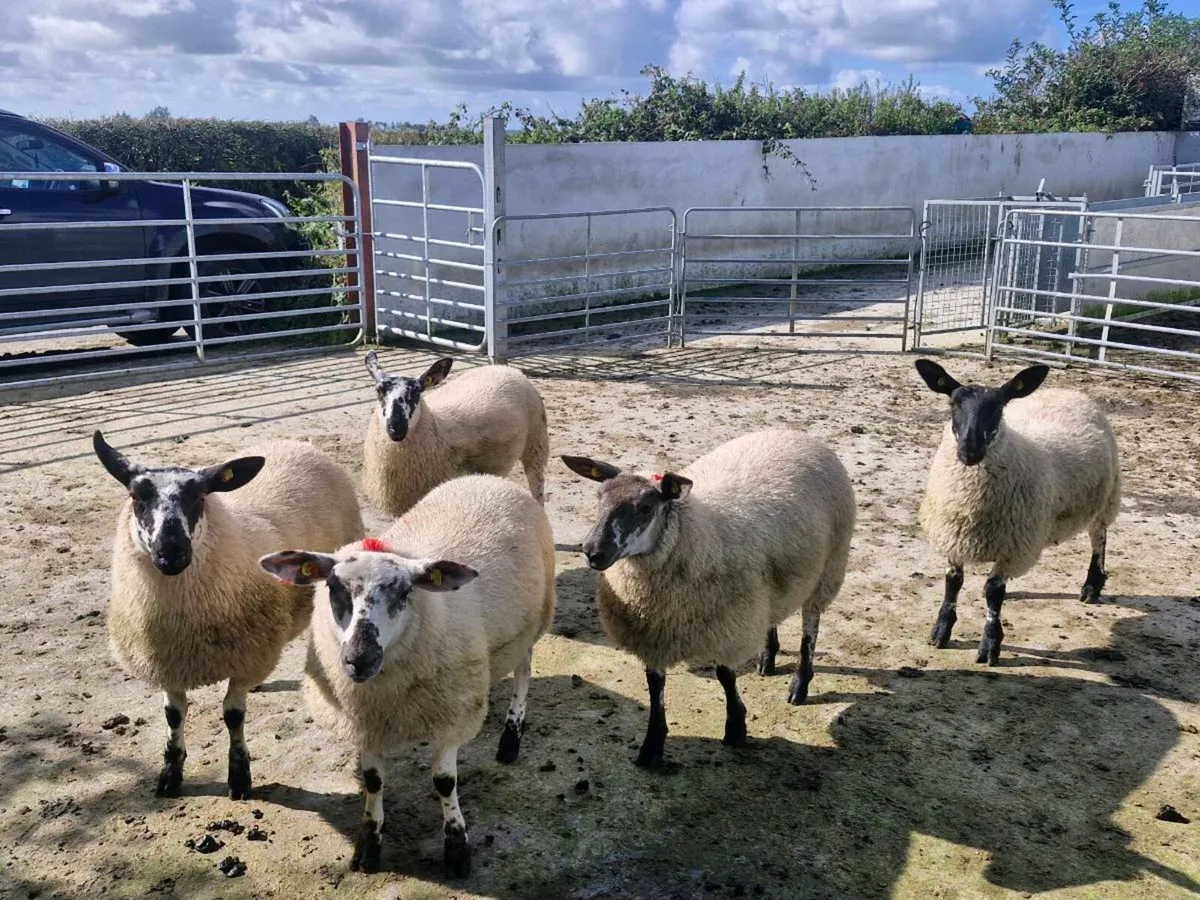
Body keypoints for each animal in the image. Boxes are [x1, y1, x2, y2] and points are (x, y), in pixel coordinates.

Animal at [93, 430, 364, 800]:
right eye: (137, 497)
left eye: (199, 497)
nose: (171, 553)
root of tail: (296, 442)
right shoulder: (166, 662)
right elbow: (173, 717)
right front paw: (170, 775)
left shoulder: (245, 657)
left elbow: (233, 716)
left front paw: (239, 776)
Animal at [259, 473, 556, 877]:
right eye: (333, 587)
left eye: (404, 591)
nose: (360, 659)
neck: (384, 693)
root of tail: (488, 479)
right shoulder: (364, 721)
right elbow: (373, 782)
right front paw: (369, 847)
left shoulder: (450, 714)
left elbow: (444, 782)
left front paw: (457, 849)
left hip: (532, 622)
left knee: (524, 672)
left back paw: (511, 737)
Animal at [361, 351, 549, 516]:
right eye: (379, 391)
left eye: (417, 392)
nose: (397, 428)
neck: (436, 428)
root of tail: (504, 368)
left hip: (536, 441)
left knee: (537, 486)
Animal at [561, 427, 856, 770]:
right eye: (599, 499)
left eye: (645, 508)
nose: (593, 551)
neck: (690, 532)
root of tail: (791, 432)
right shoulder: (654, 634)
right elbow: (655, 688)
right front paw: (652, 747)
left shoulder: (727, 626)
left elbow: (725, 676)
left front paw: (736, 727)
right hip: (771, 584)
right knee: (772, 616)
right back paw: (767, 658)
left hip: (829, 565)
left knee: (811, 623)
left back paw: (800, 683)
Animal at [913, 359, 1122, 666]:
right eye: (953, 403)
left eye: (999, 406)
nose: (969, 451)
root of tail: (1069, 392)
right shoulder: (955, 534)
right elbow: (953, 582)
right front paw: (940, 631)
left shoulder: (1013, 547)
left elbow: (993, 593)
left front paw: (990, 644)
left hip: (1104, 499)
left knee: (1100, 539)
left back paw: (1092, 587)